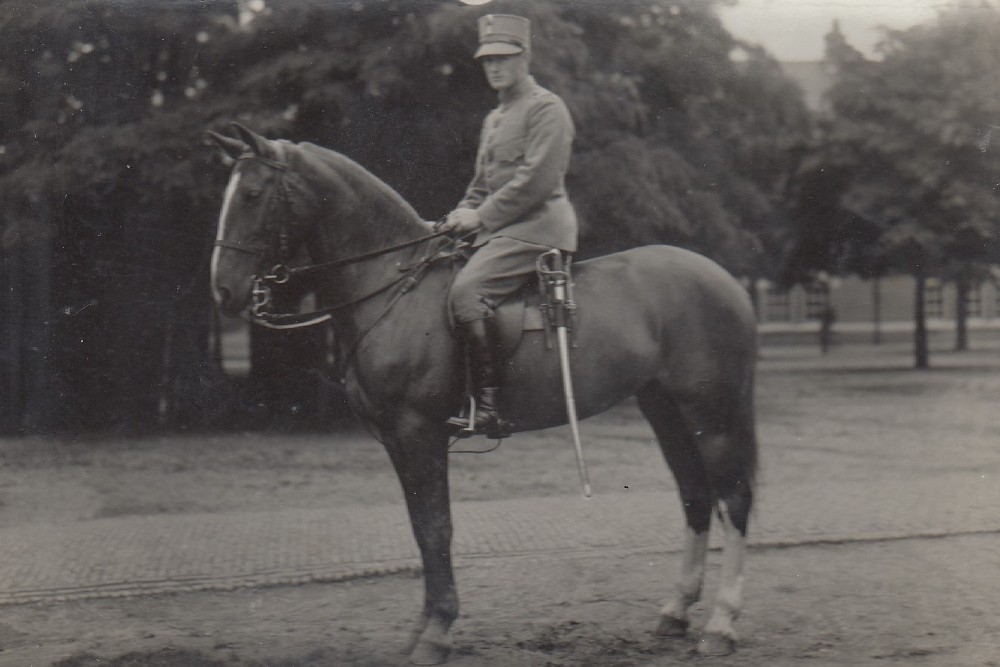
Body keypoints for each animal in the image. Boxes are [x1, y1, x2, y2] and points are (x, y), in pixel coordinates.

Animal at [209, 124, 756, 664]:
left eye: (252, 194)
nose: (223, 292)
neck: (395, 287)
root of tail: (727, 281)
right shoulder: (397, 440)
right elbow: (420, 527)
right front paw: (424, 628)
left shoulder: (419, 432)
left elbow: (436, 526)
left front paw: (436, 632)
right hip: (666, 410)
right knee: (695, 495)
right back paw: (676, 611)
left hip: (712, 413)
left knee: (733, 498)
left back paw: (722, 624)